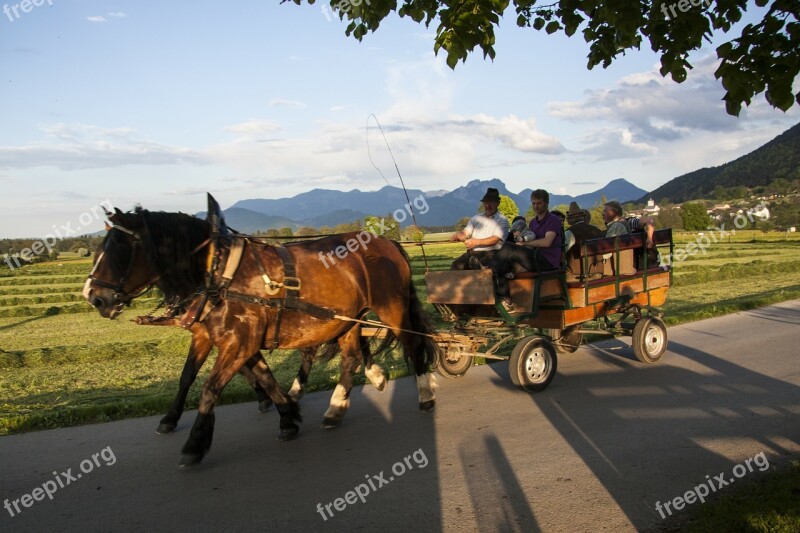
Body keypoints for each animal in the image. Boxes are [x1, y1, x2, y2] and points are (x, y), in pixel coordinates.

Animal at [84, 206, 440, 464]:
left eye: (118, 249)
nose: (93, 296)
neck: (216, 274)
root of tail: (386, 242)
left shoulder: (239, 342)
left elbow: (211, 388)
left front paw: (196, 443)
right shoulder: (215, 338)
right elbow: (228, 377)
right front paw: (287, 416)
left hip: (391, 308)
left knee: (412, 344)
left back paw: (425, 394)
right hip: (347, 319)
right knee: (350, 357)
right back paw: (337, 406)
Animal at [418, 229, 676, 390]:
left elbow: (529, 351)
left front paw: (536, 367)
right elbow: (462, 343)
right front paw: (454, 357)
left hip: (639, 303)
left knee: (645, 321)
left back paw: (651, 340)